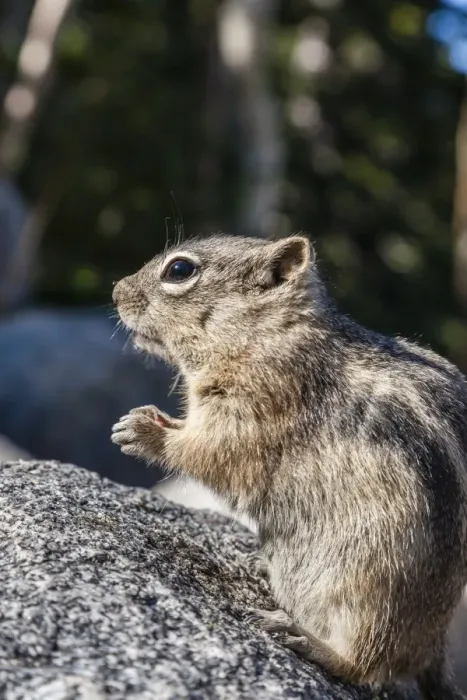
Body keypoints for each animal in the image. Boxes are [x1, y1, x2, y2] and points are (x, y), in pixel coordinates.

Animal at [111, 233, 467, 699]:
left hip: (371, 591)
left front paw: (141, 432)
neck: (270, 334)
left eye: (179, 270)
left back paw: (307, 640)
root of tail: (433, 645)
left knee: (368, 664)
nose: (116, 291)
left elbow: (210, 451)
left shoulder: (256, 408)